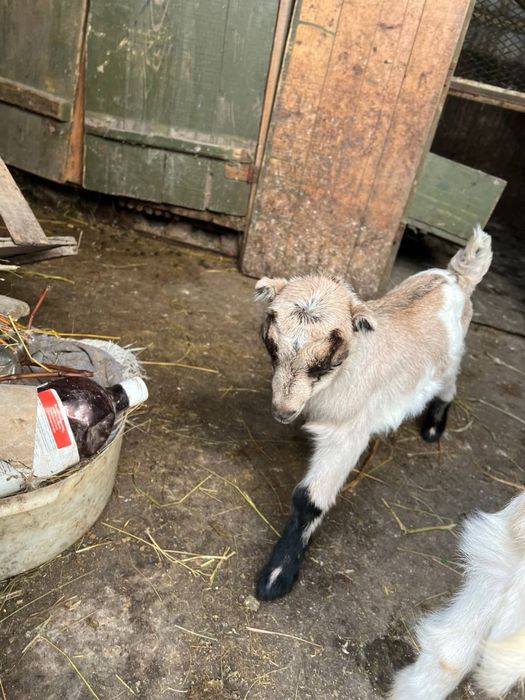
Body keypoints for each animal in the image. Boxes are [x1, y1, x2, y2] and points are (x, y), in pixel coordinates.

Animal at [253, 226, 492, 601]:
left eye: (323, 361)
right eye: (272, 347)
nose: (283, 411)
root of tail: (457, 276)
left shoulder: (349, 434)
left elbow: (309, 500)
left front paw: (276, 576)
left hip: (451, 358)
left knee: (448, 384)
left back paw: (434, 428)